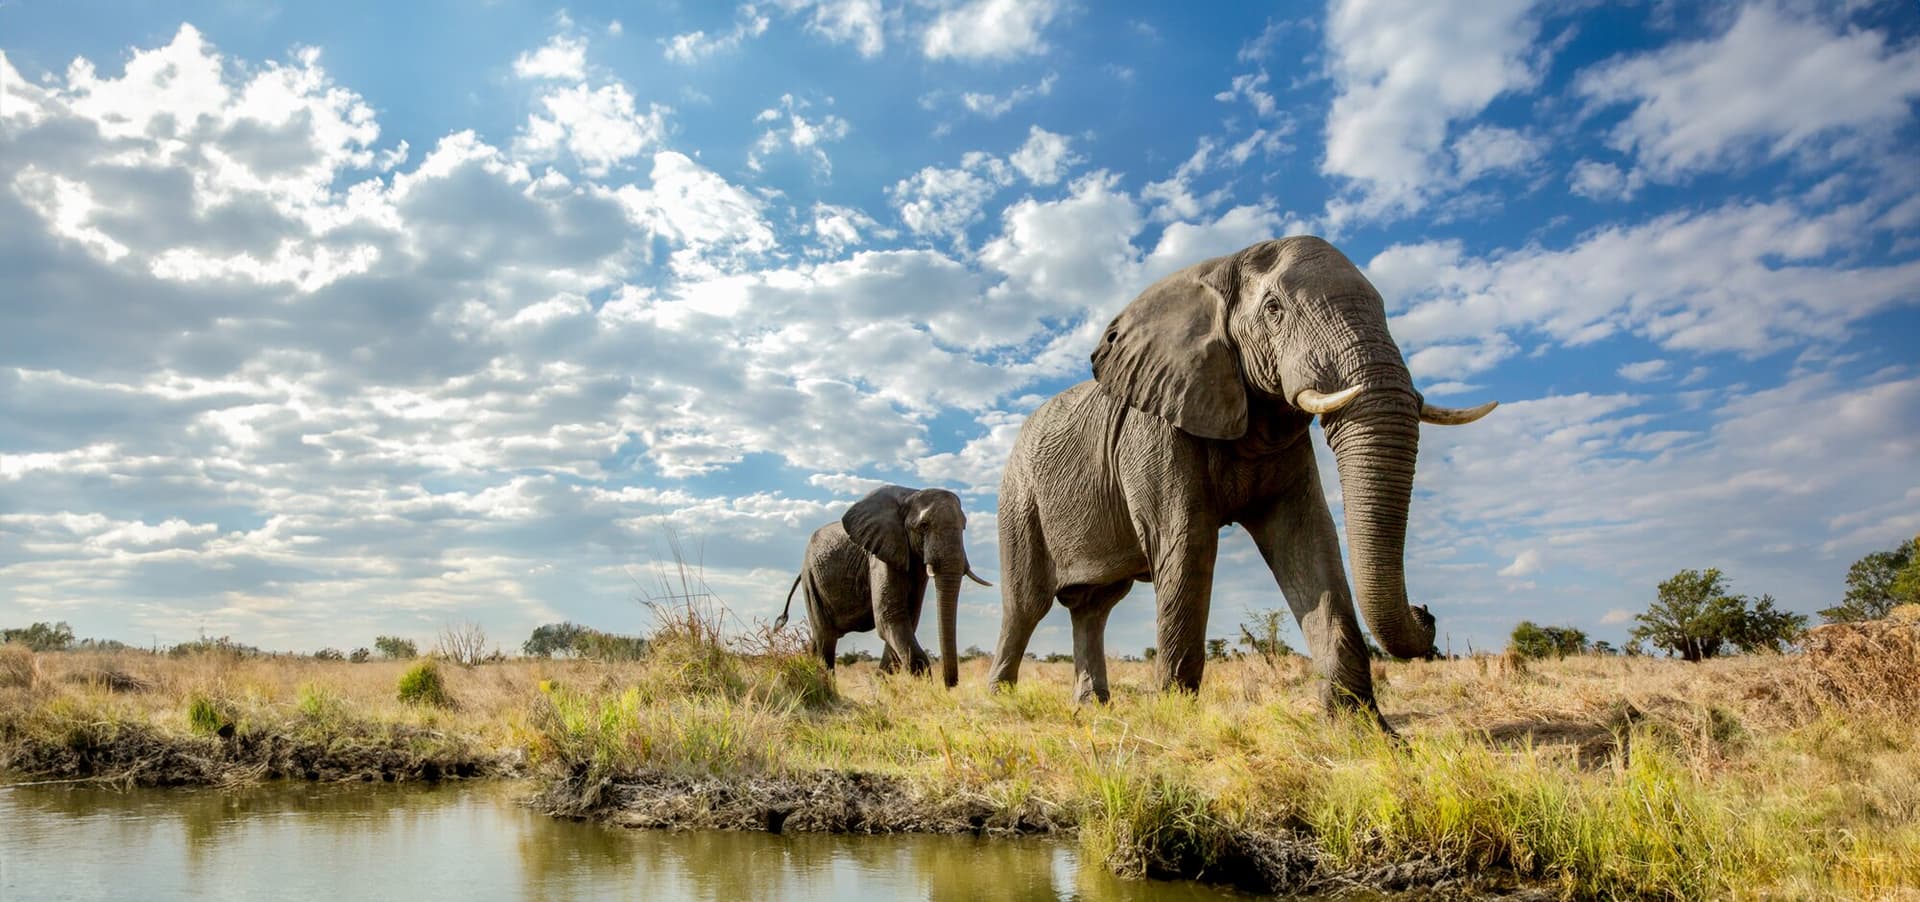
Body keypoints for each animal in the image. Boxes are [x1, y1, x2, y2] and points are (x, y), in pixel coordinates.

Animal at [775, 485, 992, 687]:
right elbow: (890, 616)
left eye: (964, 527)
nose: (949, 686)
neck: (910, 496)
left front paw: (882, 685)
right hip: (811, 579)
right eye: (923, 526)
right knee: (825, 638)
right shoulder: (880, 554)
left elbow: (908, 619)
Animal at [987, 236, 1497, 719]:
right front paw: (1177, 721)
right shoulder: (1155, 427)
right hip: (1018, 500)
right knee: (1026, 604)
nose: (1426, 612)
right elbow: (1187, 542)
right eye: (1274, 311)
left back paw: (1092, 707)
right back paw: (1000, 701)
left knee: (1094, 606)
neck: (1219, 270)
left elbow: (1305, 539)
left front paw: (1363, 729)